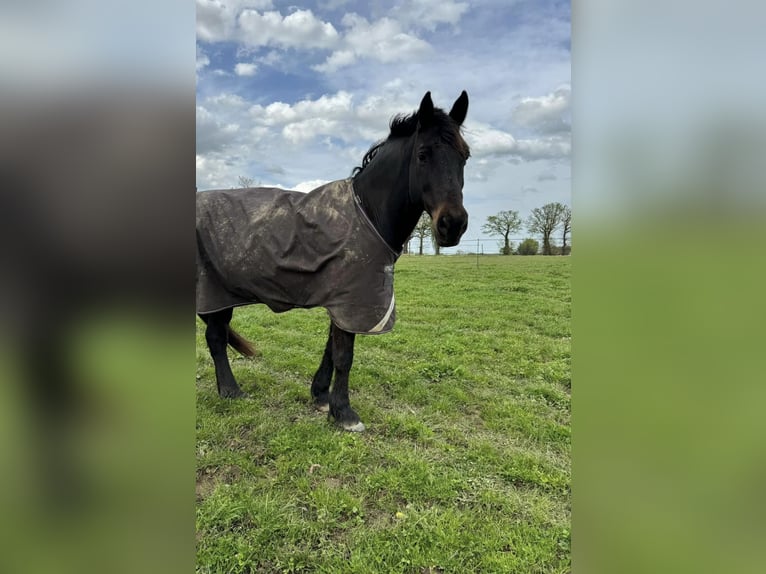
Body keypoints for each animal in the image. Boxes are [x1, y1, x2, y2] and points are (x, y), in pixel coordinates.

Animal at [196, 90, 474, 432]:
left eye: (465, 156)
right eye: (423, 154)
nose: (453, 224)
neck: (366, 212)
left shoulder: (343, 300)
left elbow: (332, 347)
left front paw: (321, 396)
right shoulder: (351, 298)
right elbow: (345, 355)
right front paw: (344, 413)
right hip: (215, 293)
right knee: (216, 338)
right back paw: (232, 391)